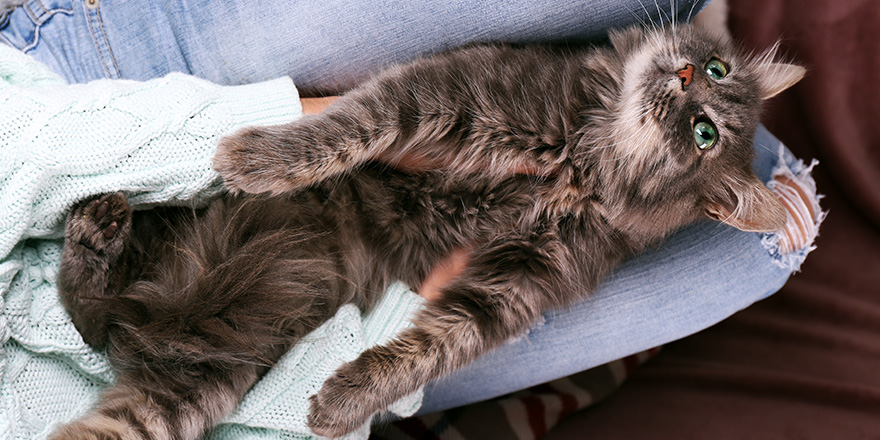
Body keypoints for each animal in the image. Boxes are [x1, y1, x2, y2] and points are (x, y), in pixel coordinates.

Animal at [51, 21, 800, 440]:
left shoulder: (518, 285)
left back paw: (99, 237)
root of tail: (158, 325)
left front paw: (341, 405)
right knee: (89, 314)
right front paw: (256, 158)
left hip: (202, 384)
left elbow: (429, 350)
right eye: (714, 69)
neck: (583, 162)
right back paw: (100, 221)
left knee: (91, 323)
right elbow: (342, 131)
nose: (685, 74)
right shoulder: (443, 95)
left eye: (706, 134)